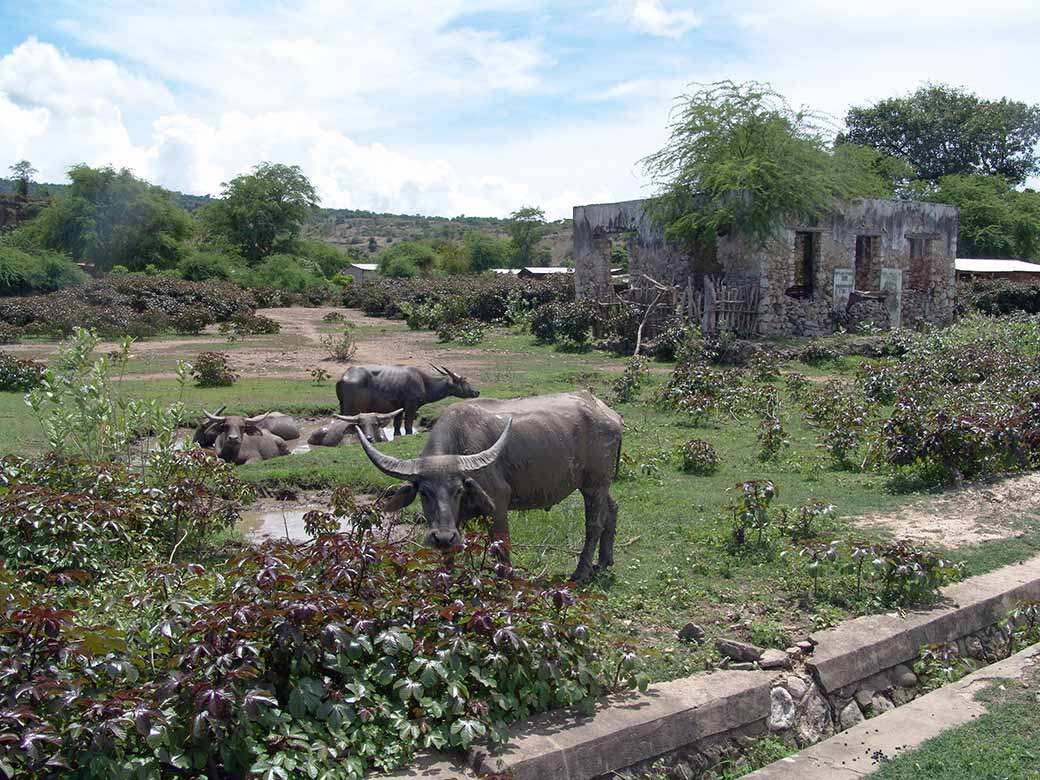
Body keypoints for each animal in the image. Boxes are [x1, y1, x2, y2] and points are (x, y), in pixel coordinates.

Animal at [336, 364, 478, 436]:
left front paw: (397, 435)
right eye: (463, 380)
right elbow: (408, 424)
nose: (476, 392)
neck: (424, 382)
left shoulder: (399, 408)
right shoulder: (411, 406)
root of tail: (343, 377)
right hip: (351, 408)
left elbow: (397, 424)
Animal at [357, 390, 623, 582]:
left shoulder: (498, 506)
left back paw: (581, 572)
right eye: (424, 492)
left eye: (458, 489)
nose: (441, 537)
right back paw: (605, 561)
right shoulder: (455, 521)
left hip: (594, 484)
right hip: (600, 485)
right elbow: (450, 553)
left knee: (594, 523)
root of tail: (611, 416)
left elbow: (502, 547)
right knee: (612, 508)